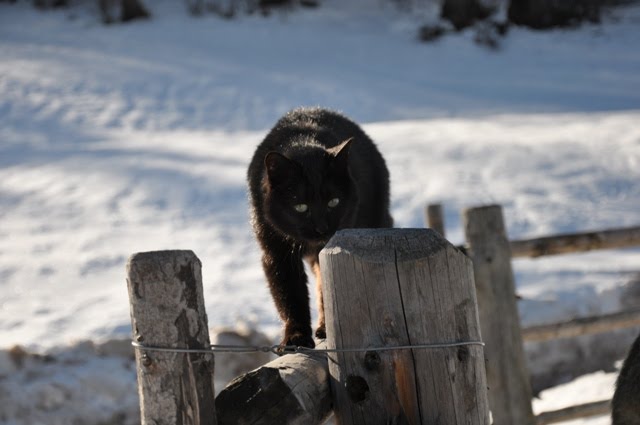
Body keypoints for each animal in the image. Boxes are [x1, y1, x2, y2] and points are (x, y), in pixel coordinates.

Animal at [248, 107, 392, 348]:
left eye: (333, 202)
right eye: (300, 206)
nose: (321, 228)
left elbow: (327, 289)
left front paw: (325, 328)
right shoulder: (277, 253)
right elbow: (290, 296)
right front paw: (296, 337)